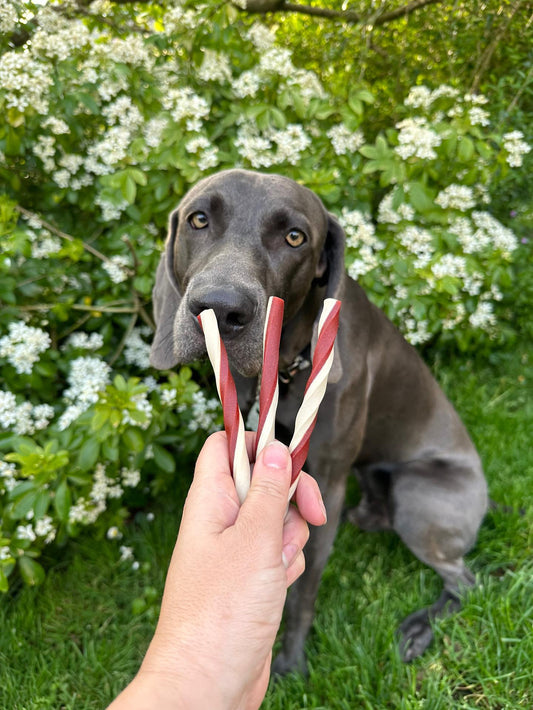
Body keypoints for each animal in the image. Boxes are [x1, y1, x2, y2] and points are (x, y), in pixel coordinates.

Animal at [149, 170, 486, 676]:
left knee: (466, 579)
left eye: (295, 237)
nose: (221, 308)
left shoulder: (326, 481)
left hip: (420, 498)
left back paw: (419, 630)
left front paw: (289, 660)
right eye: (199, 219)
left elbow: (303, 589)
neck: (289, 369)